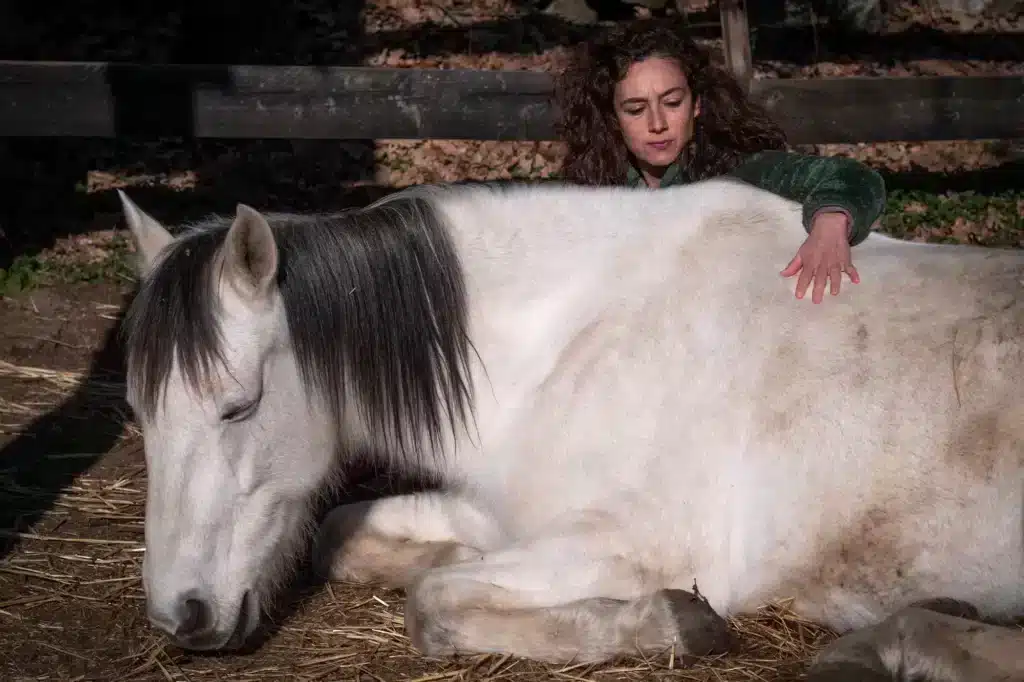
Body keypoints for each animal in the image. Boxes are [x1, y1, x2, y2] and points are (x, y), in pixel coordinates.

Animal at [115, 177, 1024, 681]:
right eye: (139, 413)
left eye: (237, 406)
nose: (179, 618)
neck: (573, 339)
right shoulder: (502, 513)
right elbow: (340, 534)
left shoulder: (629, 545)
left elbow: (432, 605)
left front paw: (674, 624)